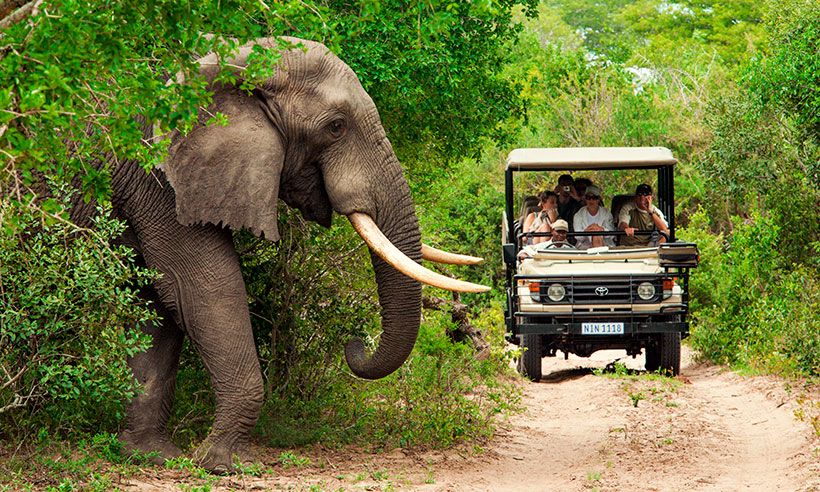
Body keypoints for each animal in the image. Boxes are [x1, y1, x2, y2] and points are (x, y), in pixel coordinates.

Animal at [84, 37, 489, 472]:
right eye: (336, 127)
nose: (355, 345)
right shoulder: (155, 174)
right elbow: (203, 286)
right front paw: (222, 463)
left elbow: (159, 301)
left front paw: (151, 455)